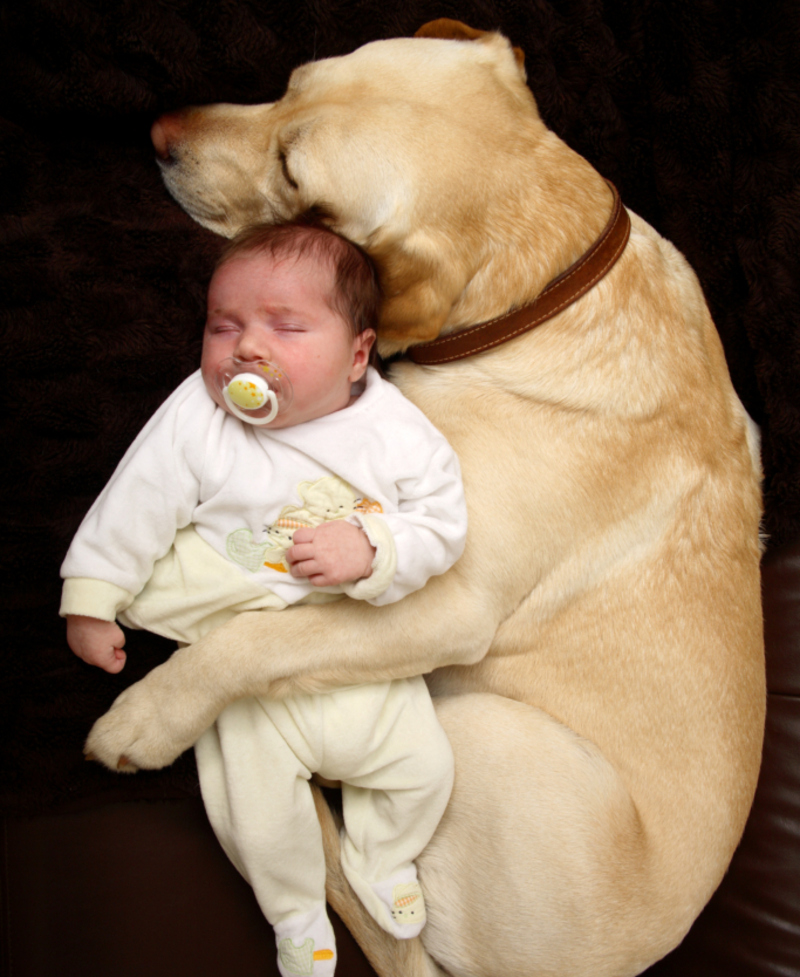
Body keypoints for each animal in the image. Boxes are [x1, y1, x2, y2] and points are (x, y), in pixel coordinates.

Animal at [84, 17, 764, 976]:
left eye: (295, 175)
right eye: (290, 81)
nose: (157, 135)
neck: (544, 288)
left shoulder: (447, 602)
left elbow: (257, 642)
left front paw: (147, 716)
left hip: (485, 735)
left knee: (367, 859)